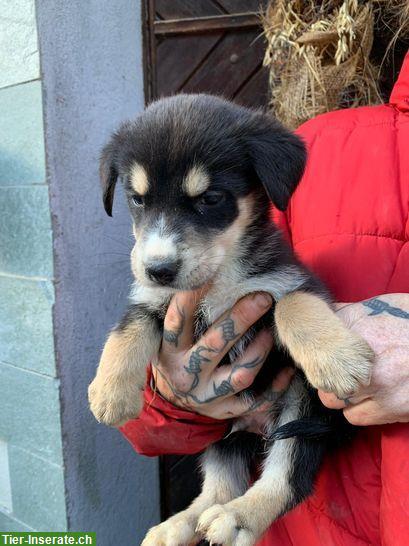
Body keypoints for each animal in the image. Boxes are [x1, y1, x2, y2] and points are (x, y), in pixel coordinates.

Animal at [88, 94, 372, 544]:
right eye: (137, 199)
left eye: (210, 198)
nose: (158, 269)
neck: (217, 280)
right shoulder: (153, 301)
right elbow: (127, 329)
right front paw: (110, 394)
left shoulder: (289, 281)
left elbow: (293, 306)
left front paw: (339, 362)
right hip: (221, 430)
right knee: (219, 488)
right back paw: (177, 526)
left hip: (301, 409)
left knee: (284, 480)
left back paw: (238, 518)